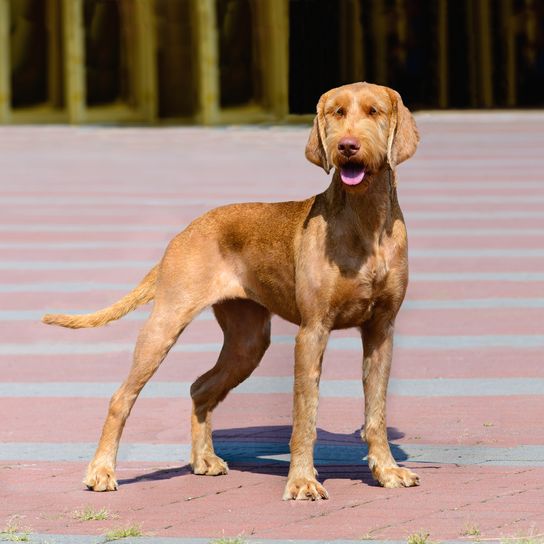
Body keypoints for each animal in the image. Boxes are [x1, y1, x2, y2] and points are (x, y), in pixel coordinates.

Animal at [44, 82, 420, 502]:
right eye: (337, 113)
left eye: (373, 111)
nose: (348, 146)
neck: (365, 219)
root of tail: (183, 233)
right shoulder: (313, 331)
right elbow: (305, 414)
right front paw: (302, 481)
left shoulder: (381, 330)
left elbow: (376, 412)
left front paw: (387, 470)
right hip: (165, 324)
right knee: (121, 397)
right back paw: (101, 471)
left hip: (248, 341)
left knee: (200, 387)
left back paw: (203, 460)